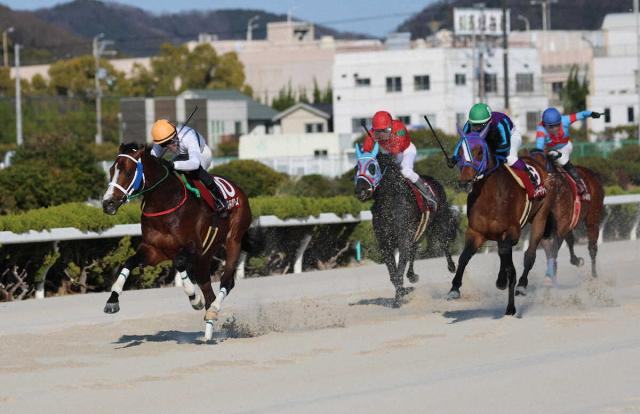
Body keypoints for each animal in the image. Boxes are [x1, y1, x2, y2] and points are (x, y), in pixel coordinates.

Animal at [101, 143, 252, 341]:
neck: (165, 203)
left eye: (128, 172)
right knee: (209, 293)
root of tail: (239, 190)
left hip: (233, 241)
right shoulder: (154, 250)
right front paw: (112, 300)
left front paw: (194, 298)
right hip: (204, 258)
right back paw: (208, 332)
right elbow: (129, 262)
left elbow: (179, 263)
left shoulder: (193, 247)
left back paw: (213, 312)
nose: (107, 203)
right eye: (111, 171)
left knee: (227, 282)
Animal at [354, 142, 457, 307]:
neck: (390, 201)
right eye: (356, 167)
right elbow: (393, 273)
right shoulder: (385, 243)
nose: (360, 190)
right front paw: (401, 292)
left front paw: (400, 295)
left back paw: (452, 266)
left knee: (443, 242)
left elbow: (399, 268)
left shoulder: (403, 237)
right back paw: (412, 275)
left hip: (438, 221)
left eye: (372, 167)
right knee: (414, 249)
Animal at [448, 125, 554, 315]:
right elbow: (464, 257)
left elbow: (506, 256)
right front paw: (454, 289)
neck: (490, 195)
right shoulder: (476, 232)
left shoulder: (512, 232)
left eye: (479, 152)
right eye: (459, 152)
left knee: (529, 254)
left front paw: (503, 280)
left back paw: (520, 289)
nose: (464, 182)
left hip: (541, 216)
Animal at [528, 150, 605, 283]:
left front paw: (549, 275)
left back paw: (594, 275)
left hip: (592, 218)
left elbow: (554, 249)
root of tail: (593, 175)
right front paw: (551, 273)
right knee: (570, 239)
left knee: (592, 247)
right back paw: (576, 260)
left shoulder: (562, 223)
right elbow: (550, 248)